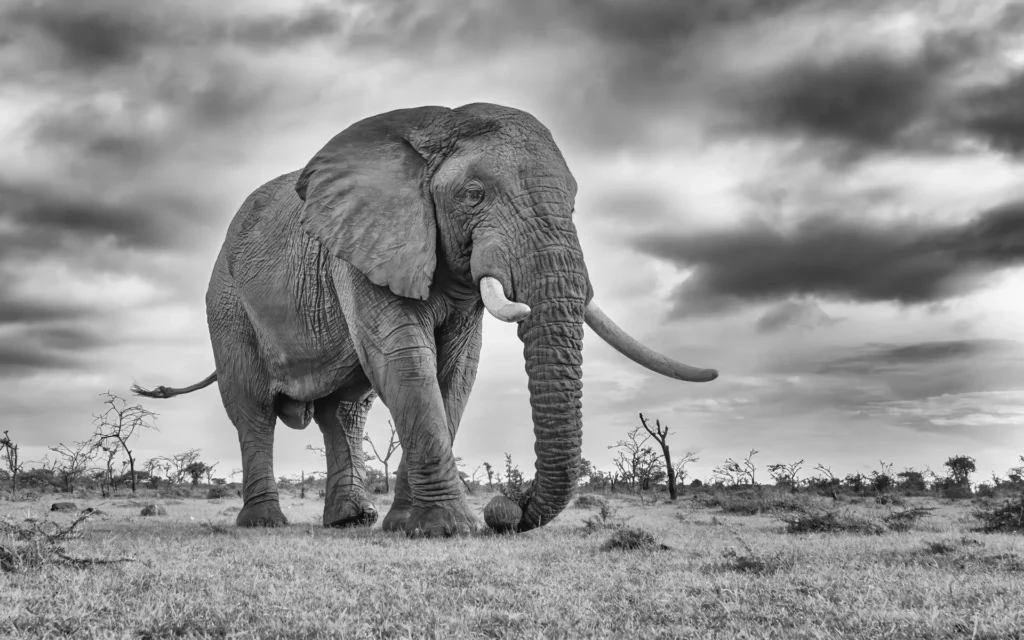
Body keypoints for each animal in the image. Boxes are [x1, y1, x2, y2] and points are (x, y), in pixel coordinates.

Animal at [132, 103, 717, 537]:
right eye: (475, 194)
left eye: (574, 206)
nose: (509, 508)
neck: (436, 131)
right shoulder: (363, 245)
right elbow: (405, 359)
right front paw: (450, 528)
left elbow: (455, 370)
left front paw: (410, 526)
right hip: (227, 303)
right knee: (252, 407)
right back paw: (265, 524)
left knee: (345, 413)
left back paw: (352, 521)